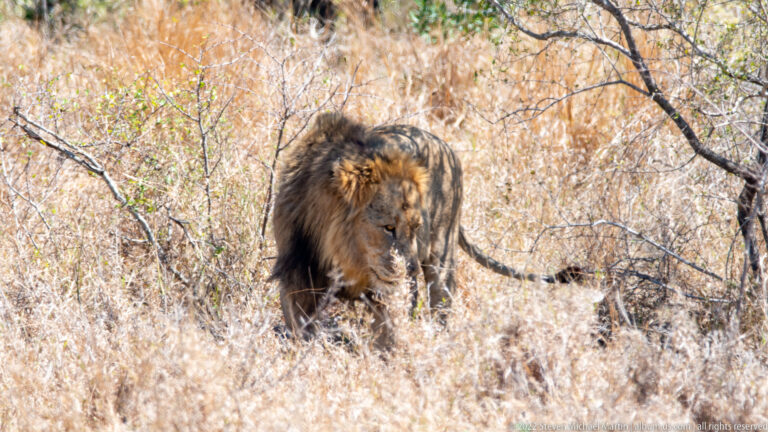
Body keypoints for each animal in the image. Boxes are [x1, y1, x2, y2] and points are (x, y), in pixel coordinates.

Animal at [271, 113, 581, 349]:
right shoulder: (295, 272)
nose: (409, 268)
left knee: (441, 304)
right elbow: (299, 326)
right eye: (389, 227)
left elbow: (388, 330)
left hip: (442, 256)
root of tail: (445, 145)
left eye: (415, 227)